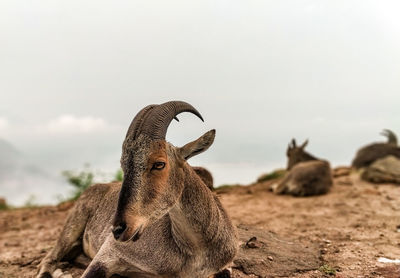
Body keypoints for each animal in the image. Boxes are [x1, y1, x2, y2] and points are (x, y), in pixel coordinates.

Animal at [36, 101, 238, 278]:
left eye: (159, 164)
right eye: (123, 165)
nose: (118, 229)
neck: (196, 248)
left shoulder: (225, 265)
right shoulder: (109, 252)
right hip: (73, 224)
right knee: (49, 258)